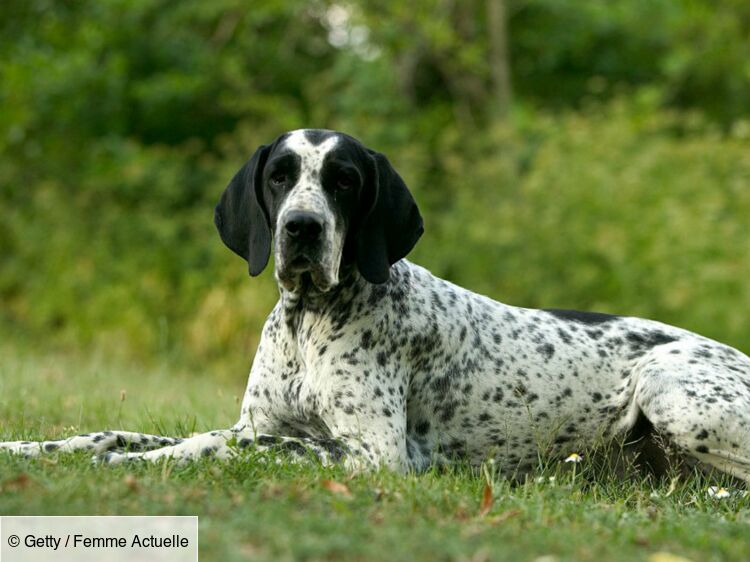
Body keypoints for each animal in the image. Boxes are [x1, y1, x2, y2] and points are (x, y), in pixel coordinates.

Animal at [1, 128, 750, 482]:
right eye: (280, 177)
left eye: (344, 181)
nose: (302, 229)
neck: (308, 324)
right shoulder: (255, 420)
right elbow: (114, 433)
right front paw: (33, 446)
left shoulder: (377, 456)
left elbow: (248, 446)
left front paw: (149, 464)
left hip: (667, 388)